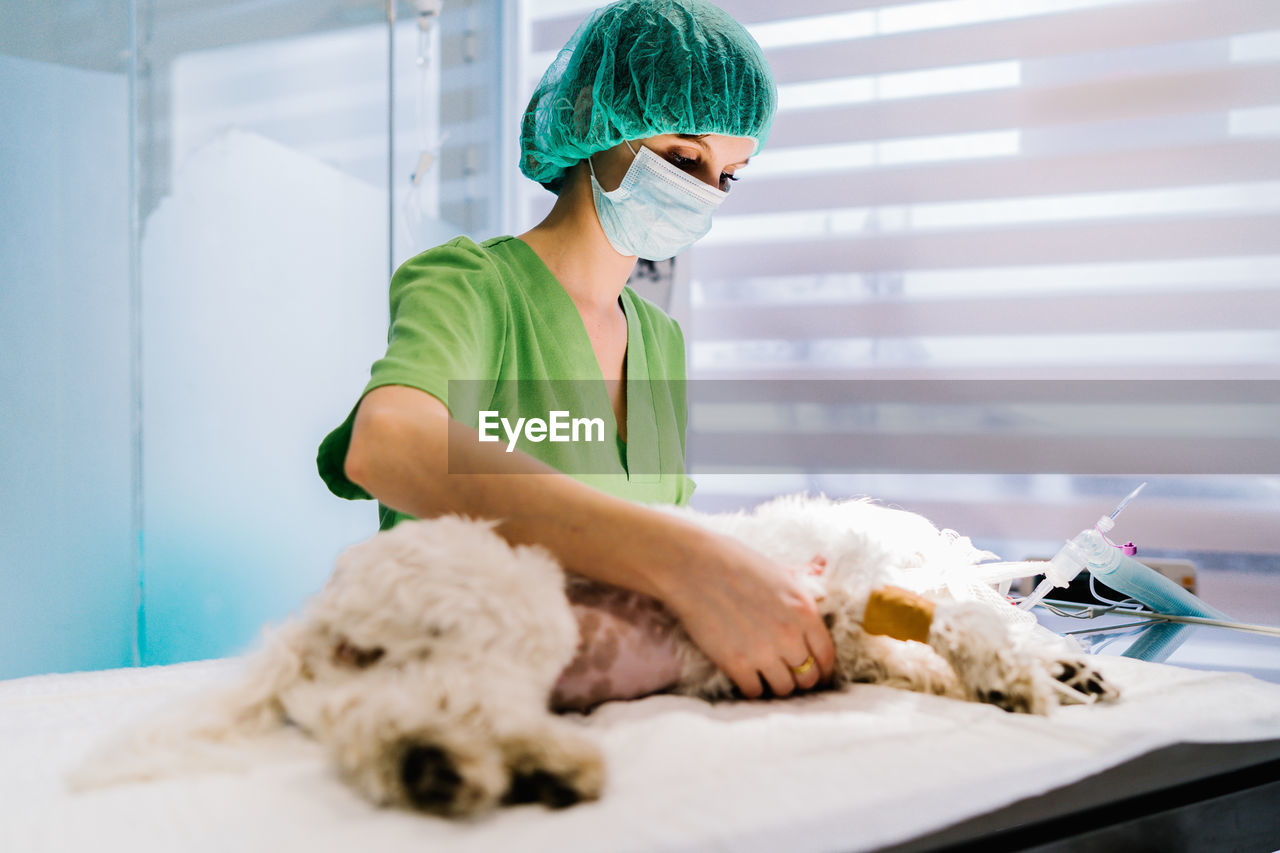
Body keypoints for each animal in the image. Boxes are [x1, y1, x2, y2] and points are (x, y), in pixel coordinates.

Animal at [67, 494, 1111, 814]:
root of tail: (320, 613)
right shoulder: (865, 587)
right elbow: (967, 627)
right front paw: (1025, 675)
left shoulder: (864, 635)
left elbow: (935, 654)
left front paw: (1065, 671)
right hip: (518, 608)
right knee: (457, 709)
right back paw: (521, 766)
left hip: (409, 665)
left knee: (383, 724)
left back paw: (447, 767)